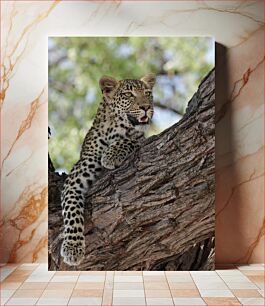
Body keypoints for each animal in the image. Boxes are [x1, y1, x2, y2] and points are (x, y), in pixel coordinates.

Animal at [59, 73, 155, 266]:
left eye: (148, 94)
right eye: (129, 95)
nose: (146, 107)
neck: (115, 130)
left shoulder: (140, 138)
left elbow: (133, 140)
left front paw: (111, 155)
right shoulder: (75, 177)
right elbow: (72, 211)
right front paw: (73, 247)